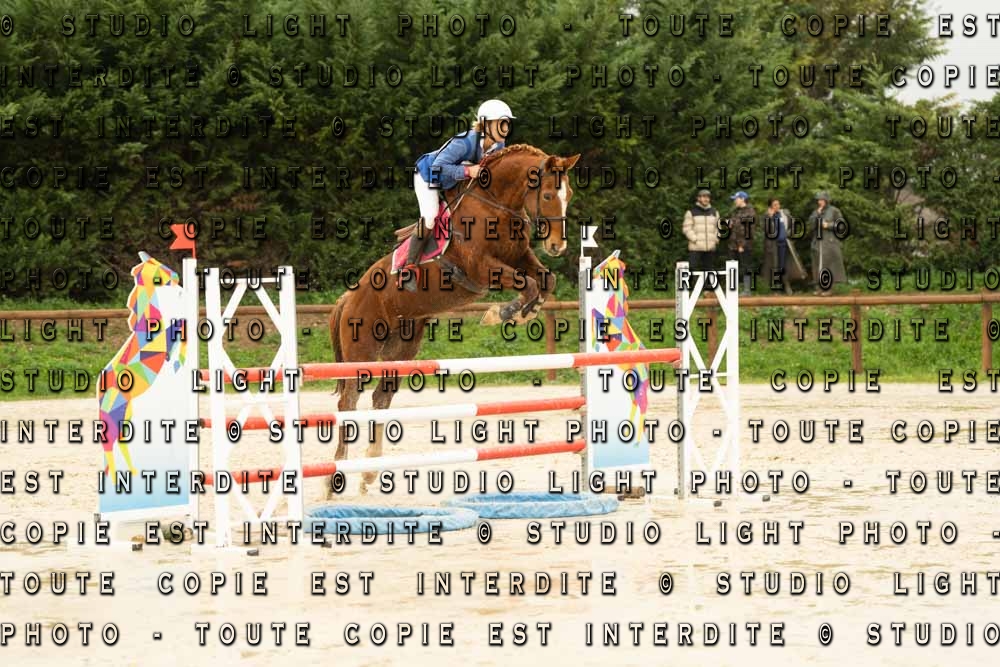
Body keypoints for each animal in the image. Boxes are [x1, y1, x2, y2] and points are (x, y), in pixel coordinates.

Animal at [328, 144, 581, 494]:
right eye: (546, 195)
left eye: (568, 194)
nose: (558, 245)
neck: (497, 204)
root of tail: (348, 297)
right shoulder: (482, 269)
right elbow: (529, 284)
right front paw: (501, 314)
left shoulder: (520, 258)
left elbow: (546, 280)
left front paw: (522, 311)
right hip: (361, 351)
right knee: (348, 403)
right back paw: (334, 479)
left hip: (402, 347)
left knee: (381, 398)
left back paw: (369, 472)